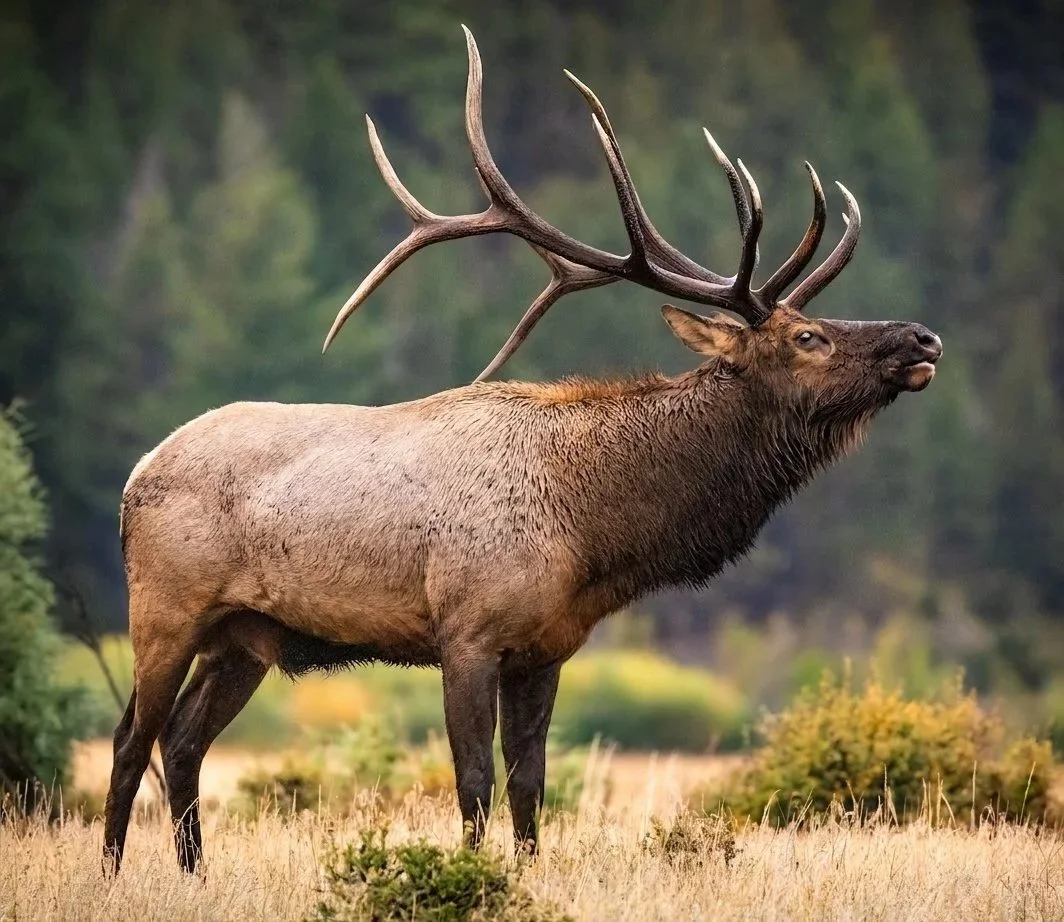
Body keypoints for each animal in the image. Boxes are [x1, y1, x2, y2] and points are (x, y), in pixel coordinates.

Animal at [104, 26, 942, 874]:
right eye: (809, 337)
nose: (922, 337)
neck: (593, 535)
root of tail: (134, 476)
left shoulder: (547, 648)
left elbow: (531, 787)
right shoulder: (466, 632)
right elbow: (474, 781)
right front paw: (470, 875)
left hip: (245, 636)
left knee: (183, 741)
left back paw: (195, 873)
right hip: (166, 608)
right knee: (131, 737)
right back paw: (113, 872)